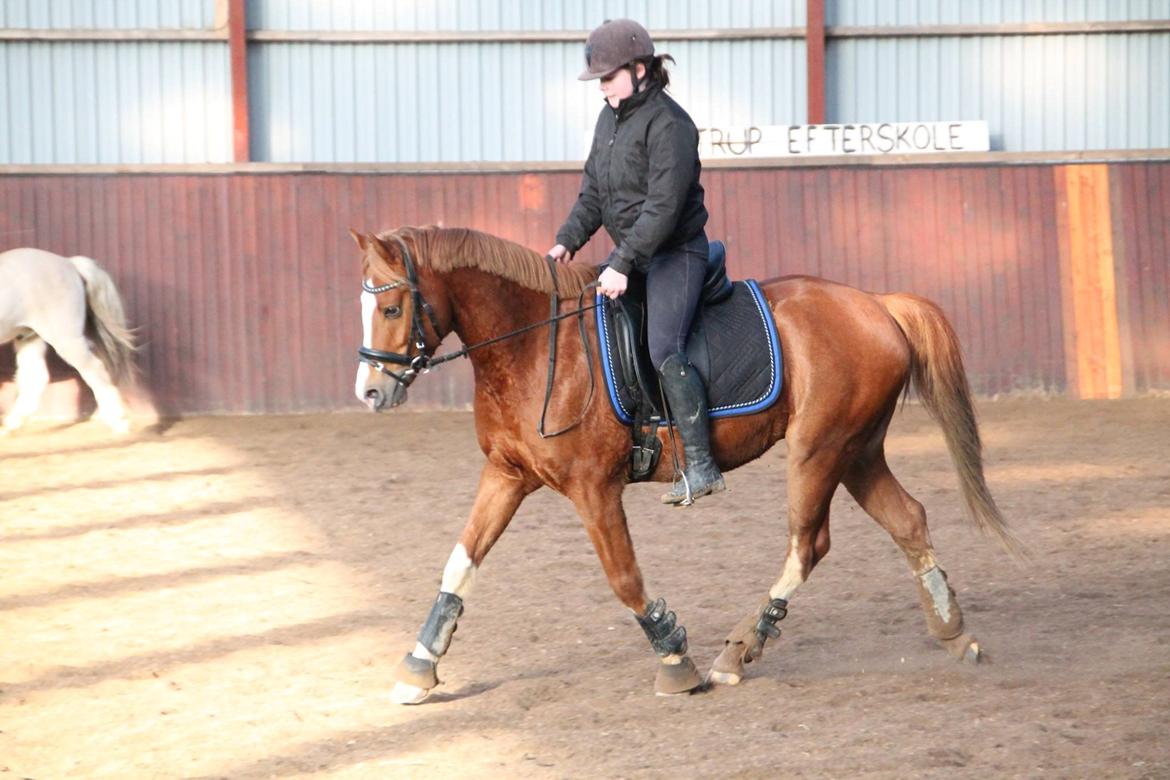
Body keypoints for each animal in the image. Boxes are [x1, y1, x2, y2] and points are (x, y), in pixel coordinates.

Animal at [0, 249, 135, 437]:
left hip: (65, 339)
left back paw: (119, 423)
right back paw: (10, 425)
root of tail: (70, 263)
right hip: (29, 336)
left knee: (95, 370)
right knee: (36, 378)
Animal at [351, 222, 1020, 706]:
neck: (534, 345)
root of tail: (878, 305)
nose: (370, 394)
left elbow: (625, 579)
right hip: (857, 452)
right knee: (907, 518)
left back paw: (736, 653)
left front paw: (676, 659)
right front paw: (418, 665)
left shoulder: (594, 489)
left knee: (809, 543)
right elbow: (459, 564)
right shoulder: (507, 476)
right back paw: (955, 631)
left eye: (391, 310)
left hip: (819, 450)